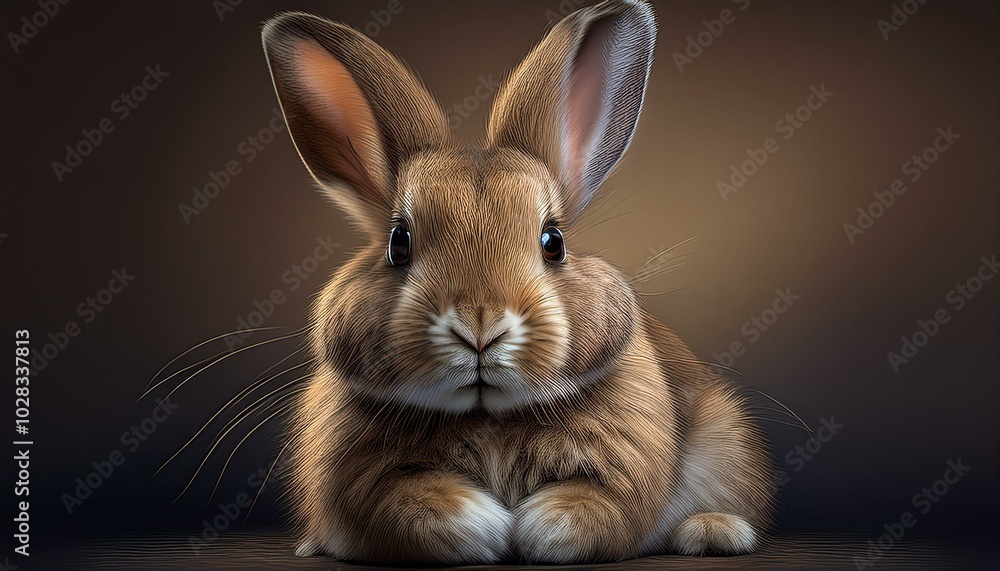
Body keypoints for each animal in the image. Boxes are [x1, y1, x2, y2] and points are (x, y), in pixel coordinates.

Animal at [261, 0, 773, 564]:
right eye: (399, 242)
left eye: (553, 242)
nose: (480, 326)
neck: (487, 418)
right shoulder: (362, 483)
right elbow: (412, 508)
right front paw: (487, 525)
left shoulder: (628, 466)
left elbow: (596, 511)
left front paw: (533, 527)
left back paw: (714, 530)